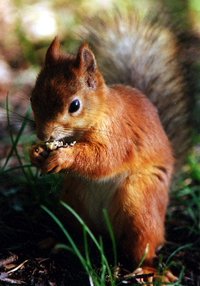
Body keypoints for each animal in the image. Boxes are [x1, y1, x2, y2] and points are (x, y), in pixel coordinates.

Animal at [30, 12, 192, 282]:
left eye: (75, 105)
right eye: (32, 98)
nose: (43, 135)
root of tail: (106, 234)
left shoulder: (120, 137)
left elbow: (105, 159)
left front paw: (63, 158)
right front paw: (36, 153)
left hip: (141, 204)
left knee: (143, 245)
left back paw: (148, 271)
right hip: (73, 201)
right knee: (81, 235)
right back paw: (58, 242)